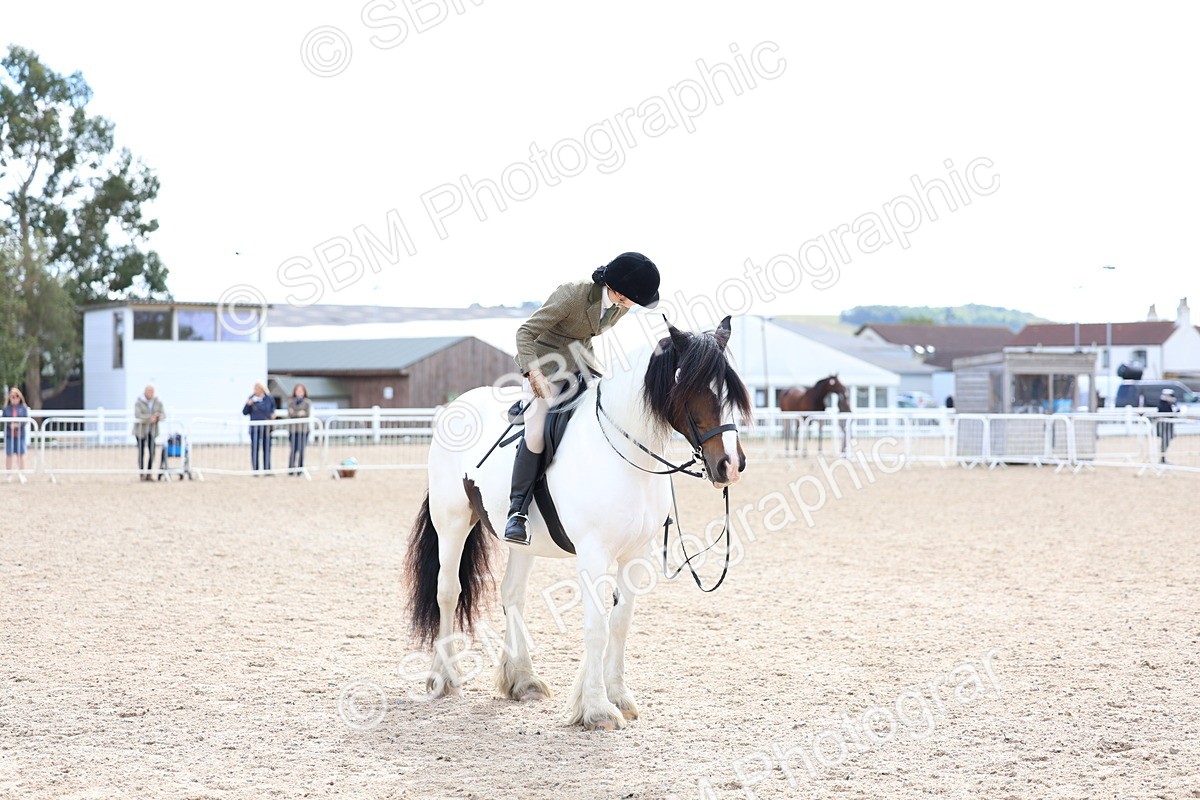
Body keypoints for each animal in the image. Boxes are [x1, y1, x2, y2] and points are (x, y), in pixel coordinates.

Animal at [404, 316, 751, 730]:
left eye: (731, 391)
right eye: (695, 389)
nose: (731, 465)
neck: (624, 454)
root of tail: (454, 406)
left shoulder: (636, 554)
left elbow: (620, 621)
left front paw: (617, 696)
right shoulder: (594, 553)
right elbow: (596, 626)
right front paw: (598, 708)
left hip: (521, 543)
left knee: (512, 594)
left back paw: (523, 680)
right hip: (452, 522)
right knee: (447, 591)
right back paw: (444, 678)